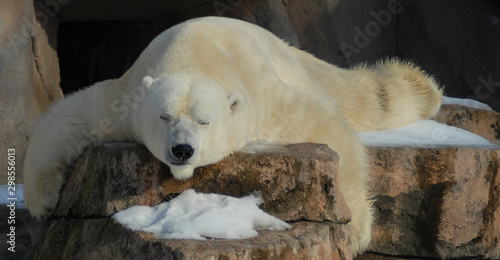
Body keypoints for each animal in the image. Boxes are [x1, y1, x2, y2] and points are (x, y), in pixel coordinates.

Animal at [23, 16, 442, 258]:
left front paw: (354, 229)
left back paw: (422, 88)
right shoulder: (126, 99)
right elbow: (69, 118)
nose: (181, 149)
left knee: (363, 95)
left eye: (204, 121)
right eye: (164, 116)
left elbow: (328, 128)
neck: (193, 55)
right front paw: (42, 202)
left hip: (299, 64)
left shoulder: (266, 100)